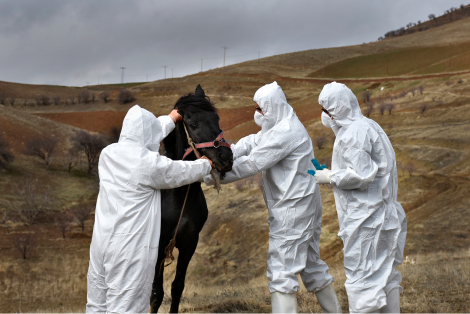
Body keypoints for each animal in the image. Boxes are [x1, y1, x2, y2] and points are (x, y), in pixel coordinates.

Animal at [151, 85, 233, 314]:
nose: (226, 158)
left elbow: (177, 287)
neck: (178, 196)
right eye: (193, 124)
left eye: (217, 118)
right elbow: (156, 293)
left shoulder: (189, 244)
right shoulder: (159, 245)